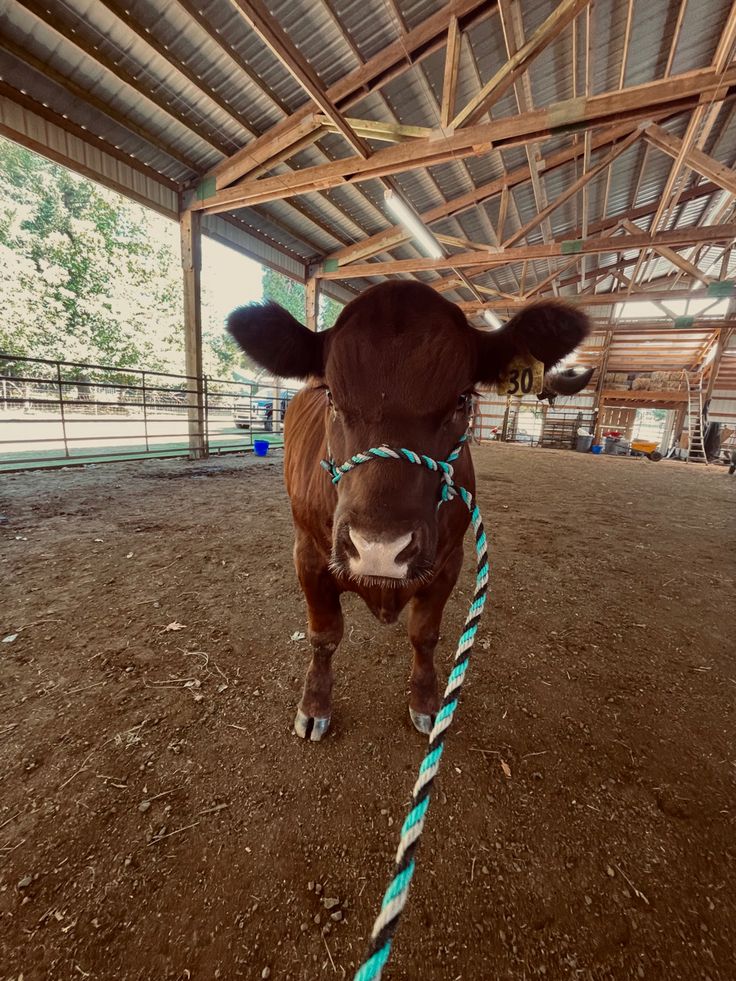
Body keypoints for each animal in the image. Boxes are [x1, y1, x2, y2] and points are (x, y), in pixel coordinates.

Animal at [227, 280, 588, 740]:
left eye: (462, 400)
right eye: (332, 396)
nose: (379, 548)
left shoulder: (449, 561)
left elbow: (425, 635)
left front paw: (426, 703)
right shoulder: (307, 555)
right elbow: (324, 635)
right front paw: (314, 705)